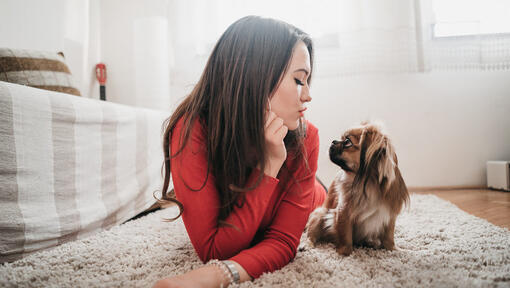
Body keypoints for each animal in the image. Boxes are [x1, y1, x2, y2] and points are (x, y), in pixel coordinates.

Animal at [306, 120, 410, 255]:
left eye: (347, 142)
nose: (333, 141)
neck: (369, 185)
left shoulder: (389, 214)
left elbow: (389, 237)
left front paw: (394, 250)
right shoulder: (343, 212)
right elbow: (346, 237)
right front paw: (344, 253)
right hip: (320, 213)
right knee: (311, 234)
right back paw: (306, 245)